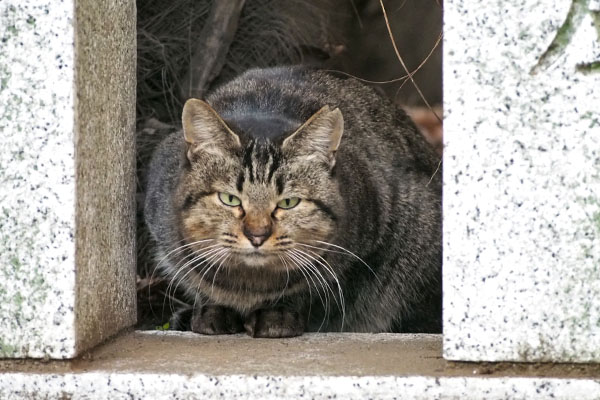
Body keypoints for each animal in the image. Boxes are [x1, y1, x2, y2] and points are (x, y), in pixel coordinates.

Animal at [142, 66, 440, 338]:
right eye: (230, 199)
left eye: (288, 202)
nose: (257, 235)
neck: (248, 285)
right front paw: (214, 310)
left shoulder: (359, 258)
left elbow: (313, 292)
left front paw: (278, 315)